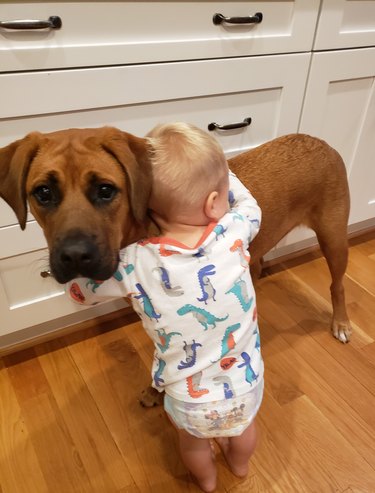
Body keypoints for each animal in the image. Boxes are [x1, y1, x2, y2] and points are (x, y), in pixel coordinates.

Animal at [0, 129, 352, 348]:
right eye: (43, 193)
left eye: (106, 190)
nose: (74, 257)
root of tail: (322, 142)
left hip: (335, 239)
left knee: (337, 285)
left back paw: (341, 322)